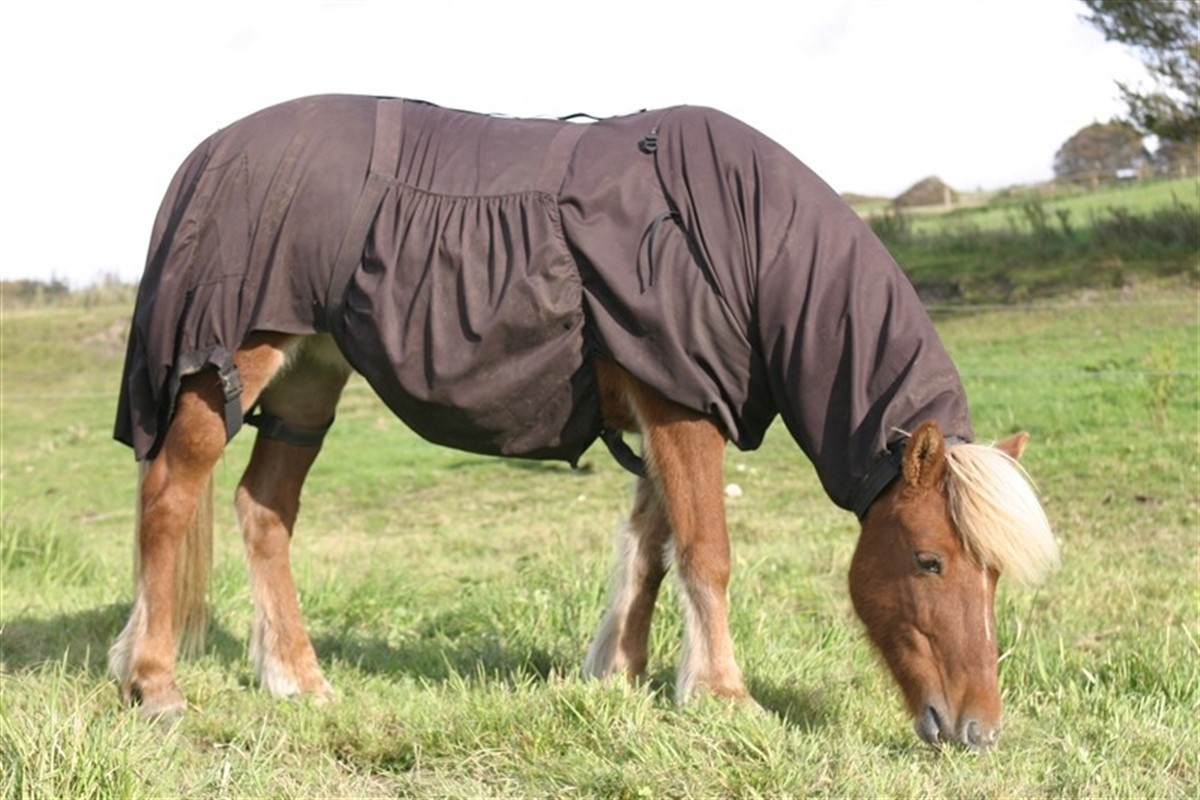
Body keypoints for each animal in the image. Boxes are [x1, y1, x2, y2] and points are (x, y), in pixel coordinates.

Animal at [109, 95, 1058, 749]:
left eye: (993, 576)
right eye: (930, 560)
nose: (976, 730)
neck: (734, 239)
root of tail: (208, 155)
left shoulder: (658, 410)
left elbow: (652, 549)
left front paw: (618, 677)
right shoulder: (681, 405)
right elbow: (705, 550)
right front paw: (724, 697)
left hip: (309, 380)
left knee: (264, 511)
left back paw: (295, 679)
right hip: (234, 366)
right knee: (169, 498)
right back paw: (153, 684)